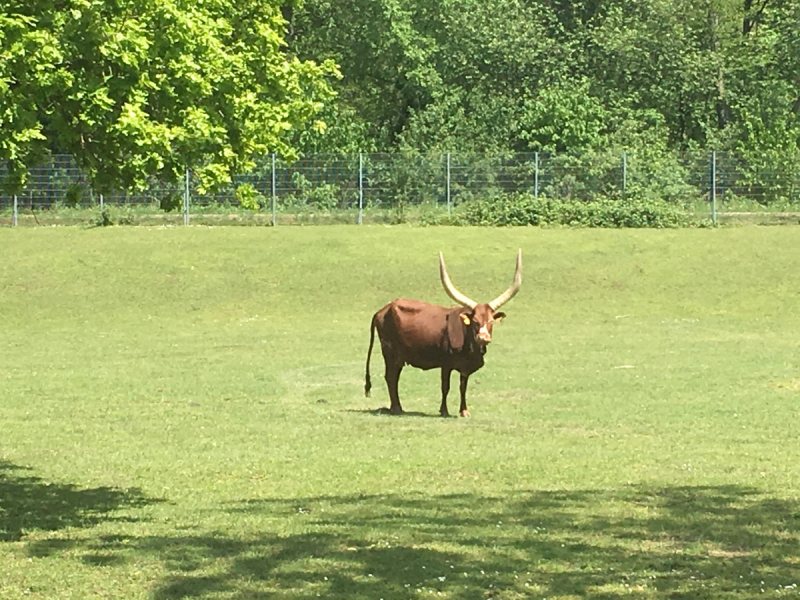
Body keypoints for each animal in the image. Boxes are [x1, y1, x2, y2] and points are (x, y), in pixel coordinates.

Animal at [364, 250, 524, 418]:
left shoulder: (465, 368)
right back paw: (396, 408)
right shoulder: (445, 363)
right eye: (475, 321)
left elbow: (462, 387)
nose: (483, 337)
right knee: (391, 377)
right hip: (390, 353)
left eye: (491, 321)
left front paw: (464, 411)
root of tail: (382, 310)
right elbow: (445, 387)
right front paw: (444, 410)